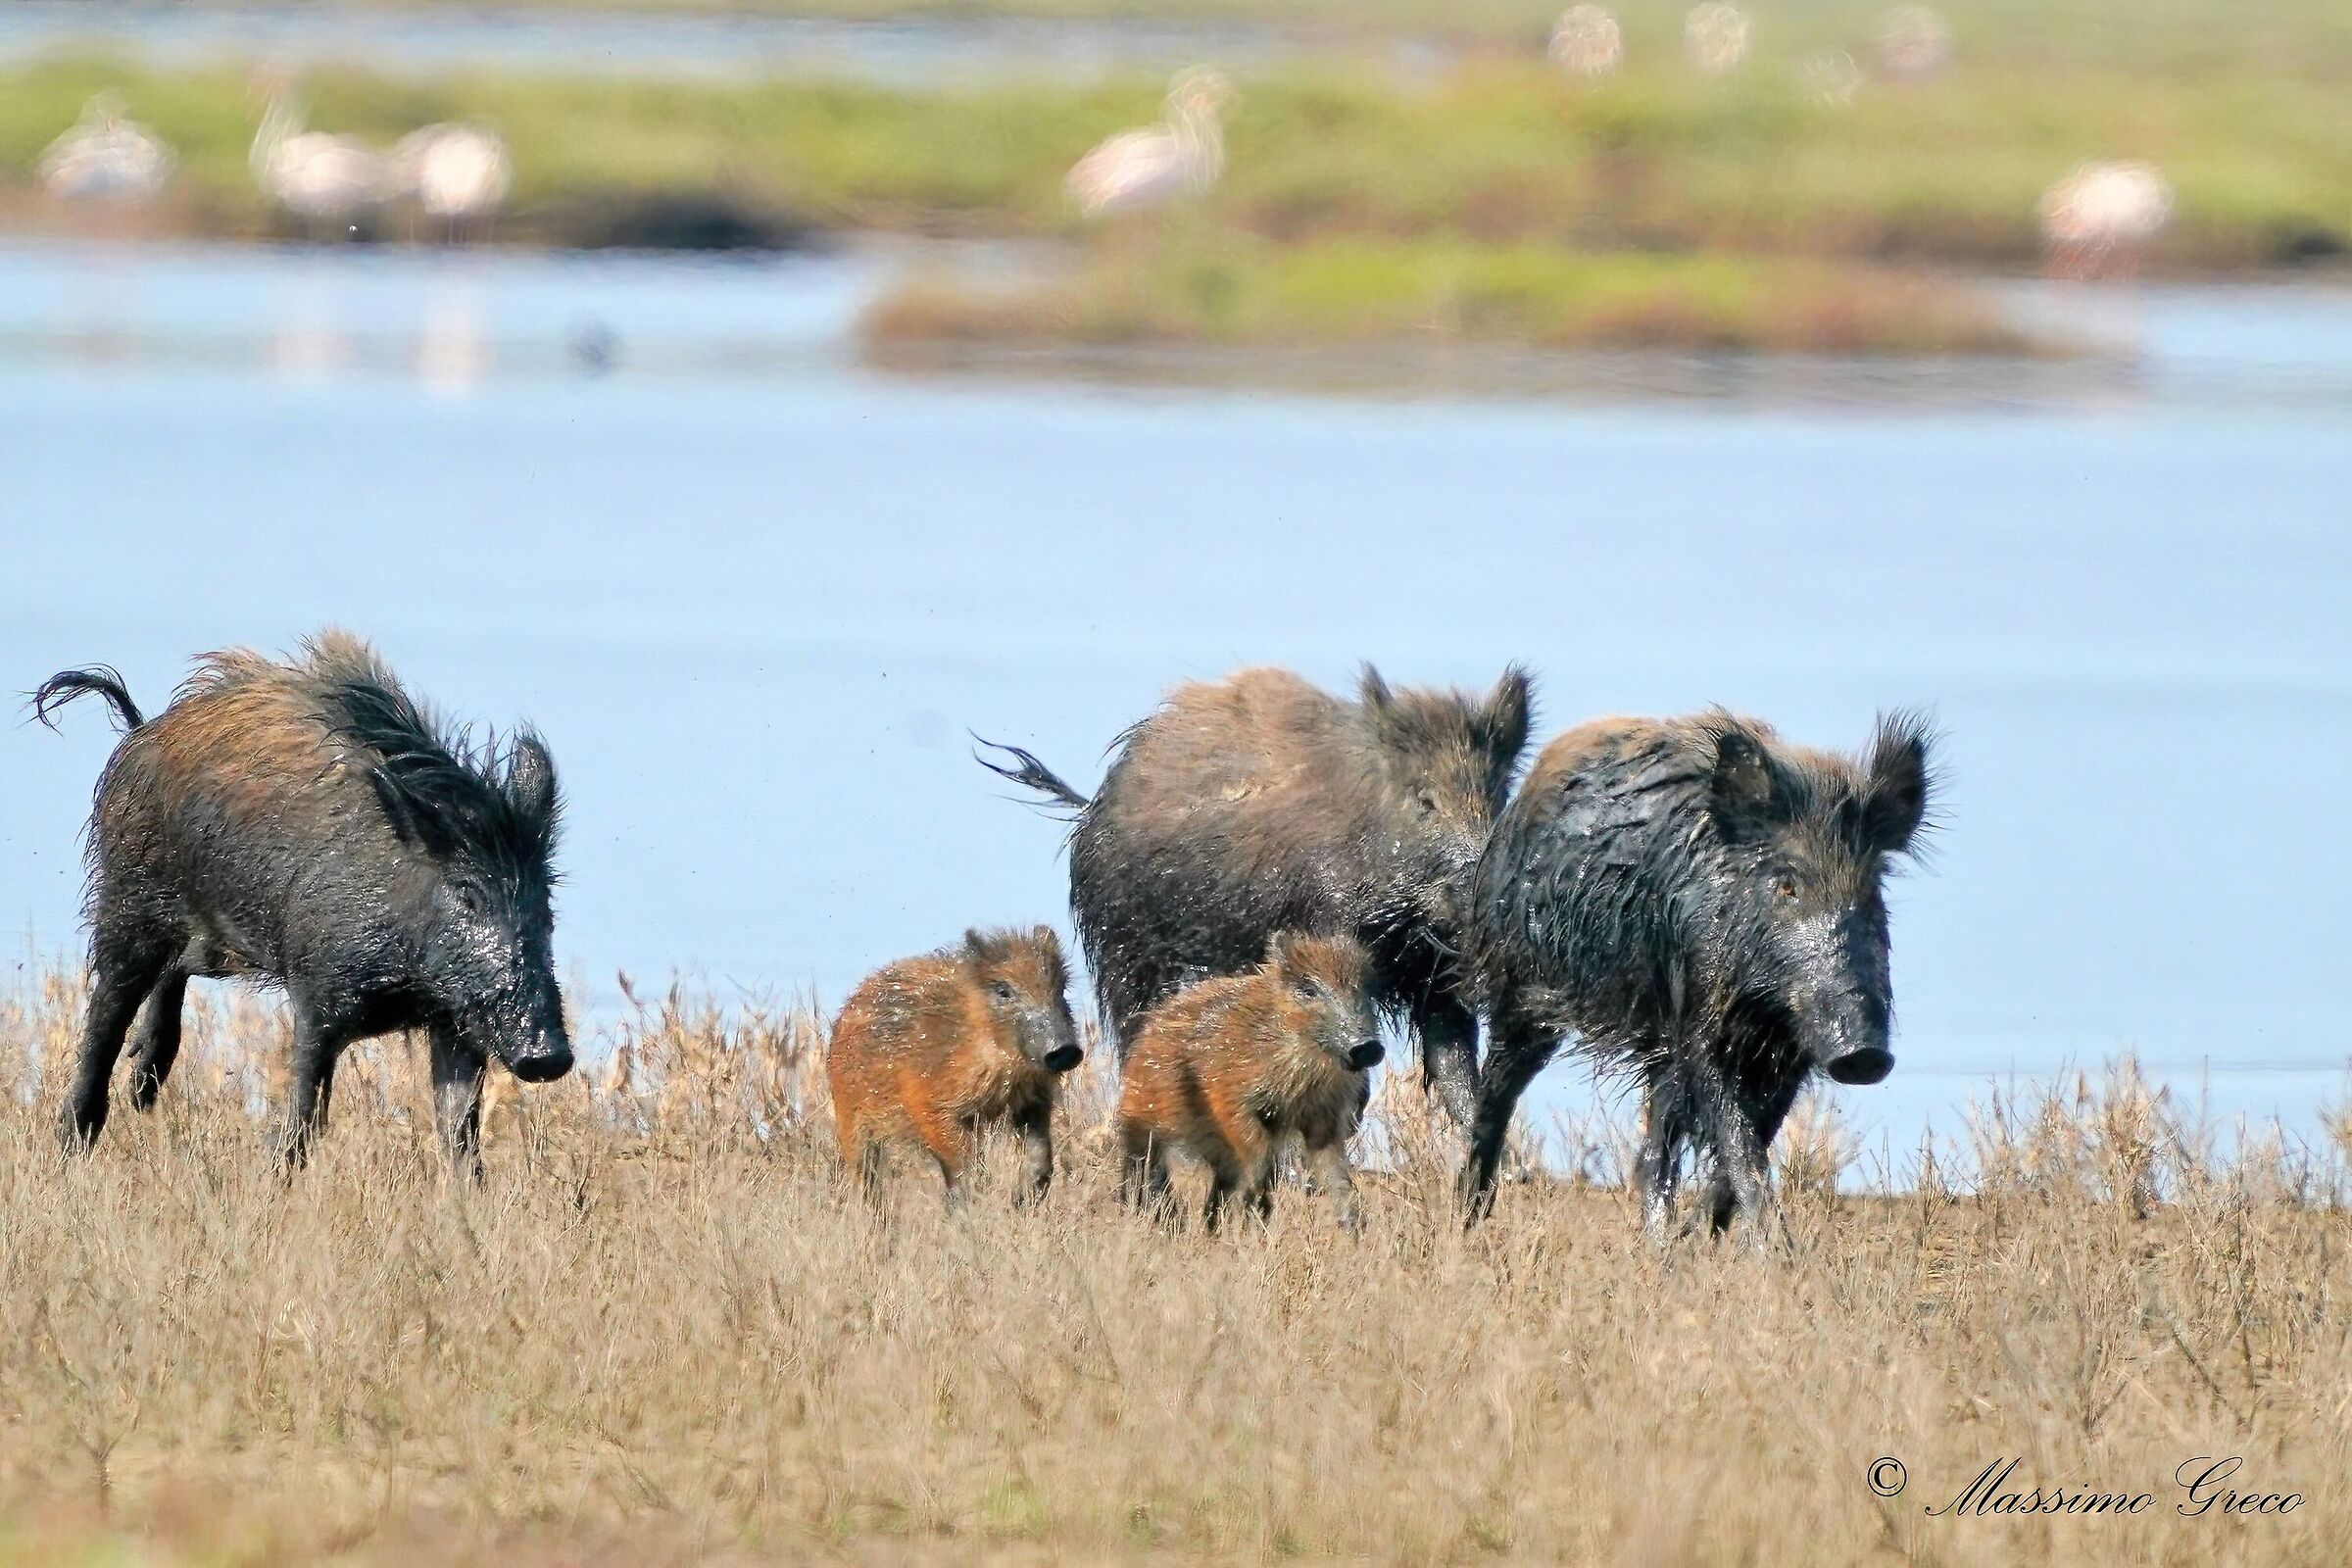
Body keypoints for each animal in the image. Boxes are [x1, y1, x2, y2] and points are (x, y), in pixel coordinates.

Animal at [34, 632, 572, 1174]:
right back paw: (71, 1146)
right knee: (105, 1013)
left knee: (176, 970)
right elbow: (304, 1114)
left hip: (216, 939)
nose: (550, 1056)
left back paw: (142, 1094)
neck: (405, 976)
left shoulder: (456, 1021)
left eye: (545, 904)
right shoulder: (319, 992)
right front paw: (274, 1179)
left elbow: (459, 1134)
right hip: (127, 900)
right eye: (467, 895)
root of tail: (142, 732)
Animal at [825, 925, 1083, 1202]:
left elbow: (1039, 1157)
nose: (1065, 1049)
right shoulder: (928, 1106)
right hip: (851, 1122)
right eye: (1003, 991)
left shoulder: (1032, 1099)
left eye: (1061, 988)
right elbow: (966, 1163)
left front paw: (1021, 1199)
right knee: (866, 1179)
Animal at [977, 662, 1531, 1125]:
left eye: (1499, 795)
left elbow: (1457, 1071)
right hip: (1124, 953)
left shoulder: (1435, 978)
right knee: (1137, 1037)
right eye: (1425, 800)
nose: (1487, 896)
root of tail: (1092, 804)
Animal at [1117, 932, 1383, 1231]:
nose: (1368, 1047)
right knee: (1144, 1172)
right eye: (1308, 990)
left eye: (1363, 989)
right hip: (1142, 1126)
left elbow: (1337, 1175)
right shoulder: (1228, 1099)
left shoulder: (1323, 1120)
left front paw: (1353, 1225)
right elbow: (1256, 1160)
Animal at [1459, 710, 1935, 1241]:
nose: (1865, 1054)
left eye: (1871, 891)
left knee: (1656, 1143)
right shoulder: (1701, 1023)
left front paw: (1696, 1238)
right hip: (1521, 983)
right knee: (1496, 1089)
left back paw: (1657, 1242)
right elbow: (1738, 1140)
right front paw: (1776, 1251)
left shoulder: (1786, 1054)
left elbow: (1743, 1147)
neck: (1764, 1003)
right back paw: (1466, 1217)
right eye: (1786, 885)